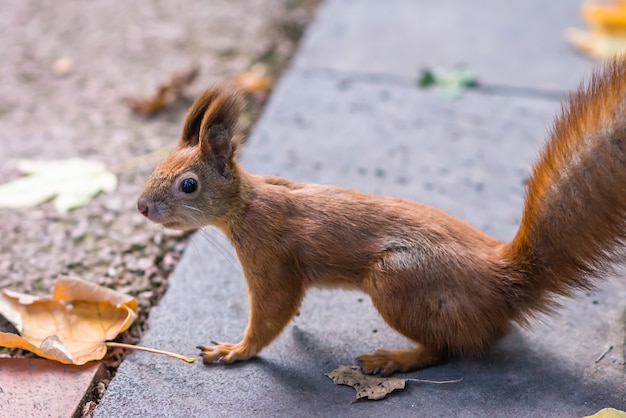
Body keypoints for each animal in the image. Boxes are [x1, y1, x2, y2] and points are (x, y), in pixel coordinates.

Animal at [139, 59, 624, 376]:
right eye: (156, 165)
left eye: (188, 185)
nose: (142, 207)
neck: (248, 205)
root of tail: (502, 278)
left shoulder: (272, 258)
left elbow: (271, 312)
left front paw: (235, 350)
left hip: (397, 279)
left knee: (445, 349)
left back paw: (392, 359)